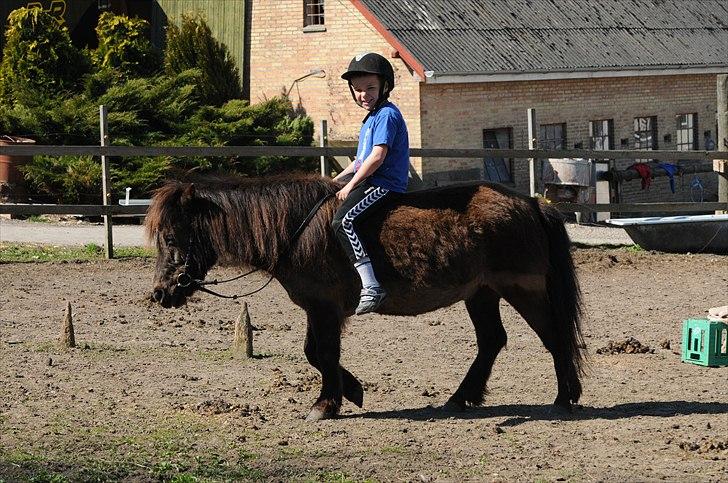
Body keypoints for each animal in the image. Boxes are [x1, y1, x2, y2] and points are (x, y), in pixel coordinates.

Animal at [148, 174, 584, 420]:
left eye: (170, 237)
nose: (160, 293)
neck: (295, 230)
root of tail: (531, 204)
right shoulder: (318, 308)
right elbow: (314, 354)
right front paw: (351, 391)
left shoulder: (325, 309)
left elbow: (324, 354)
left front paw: (326, 405)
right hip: (481, 294)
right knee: (492, 341)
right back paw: (460, 399)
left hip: (522, 290)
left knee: (555, 337)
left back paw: (565, 399)